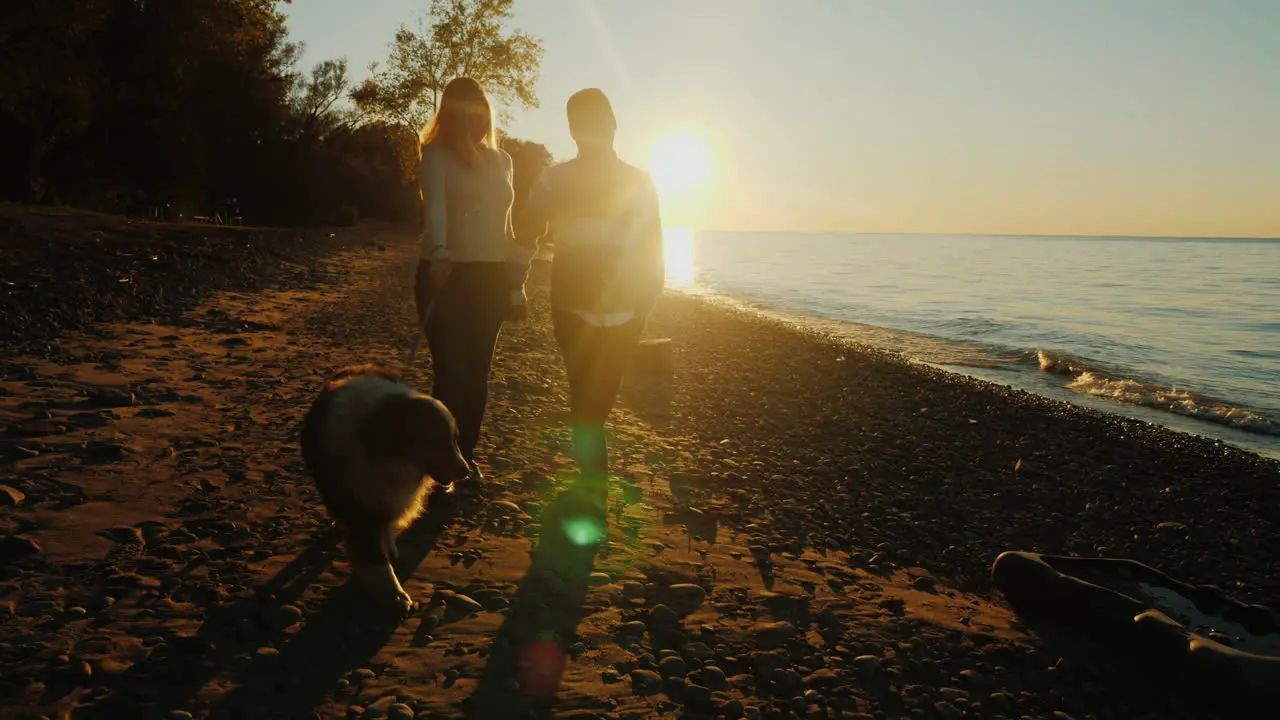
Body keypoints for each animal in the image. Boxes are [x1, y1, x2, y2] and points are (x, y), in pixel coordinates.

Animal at [299, 361, 471, 607]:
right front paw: (393, 593)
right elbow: (373, 555)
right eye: (437, 439)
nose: (465, 471)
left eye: (454, 438)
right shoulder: (359, 503)